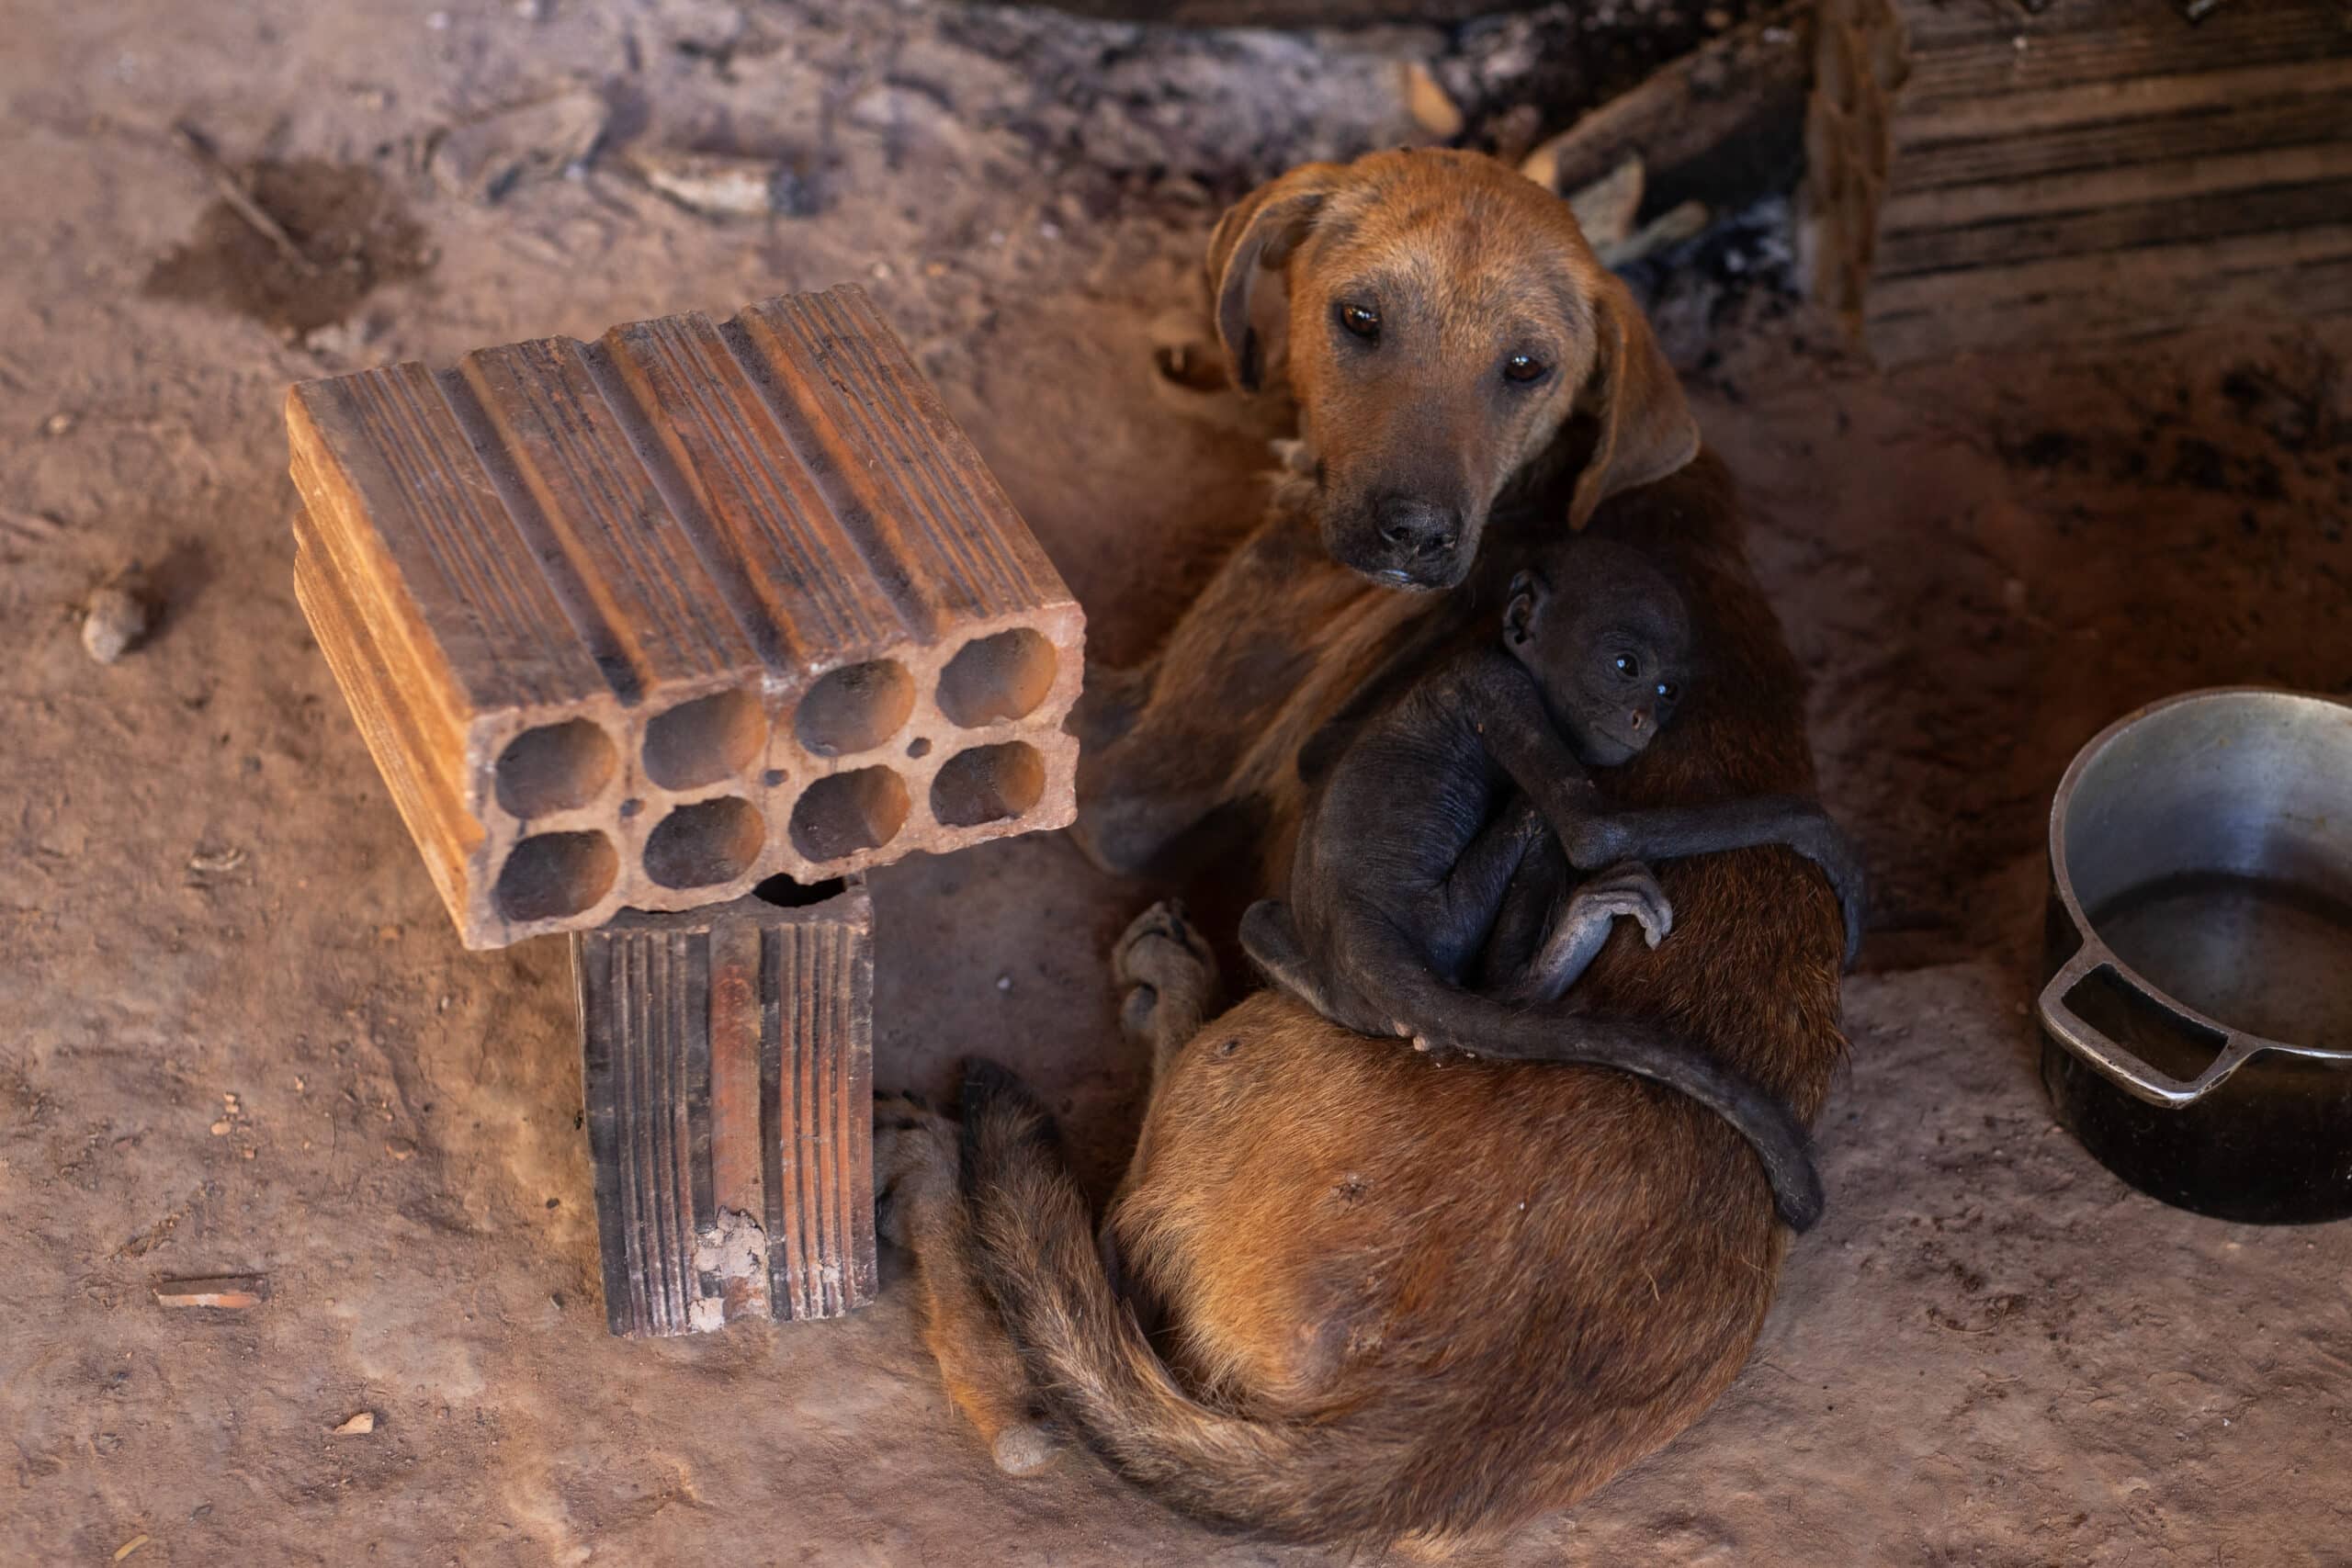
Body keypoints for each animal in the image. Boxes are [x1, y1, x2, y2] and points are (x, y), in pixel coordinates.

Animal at [1238, 536, 1864, 1231]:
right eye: (1625, 666)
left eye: (1667, 689)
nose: (1645, 718)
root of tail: (1364, 944)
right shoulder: (1501, 690)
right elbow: (1593, 832)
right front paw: (1816, 830)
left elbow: (1312, 755)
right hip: (1444, 921)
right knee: (1535, 816)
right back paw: (1547, 966)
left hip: (1342, 992)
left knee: (1257, 921)